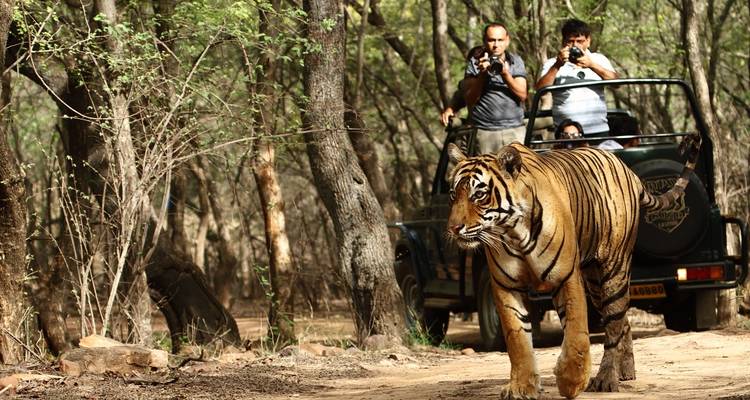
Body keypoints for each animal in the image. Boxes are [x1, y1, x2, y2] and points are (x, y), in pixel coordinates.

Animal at [445, 135, 700, 400]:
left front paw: (572, 382)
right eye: (453, 194)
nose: (453, 228)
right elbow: (517, 340)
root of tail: (628, 170)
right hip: (595, 284)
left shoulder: (566, 277)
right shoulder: (506, 286)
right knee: (622, 321)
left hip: (614, 270)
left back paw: (606, 379)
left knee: (613, 325)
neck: (513, 232)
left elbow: (577, 334)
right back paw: (626, 370)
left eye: (479, 194)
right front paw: (521, 387)